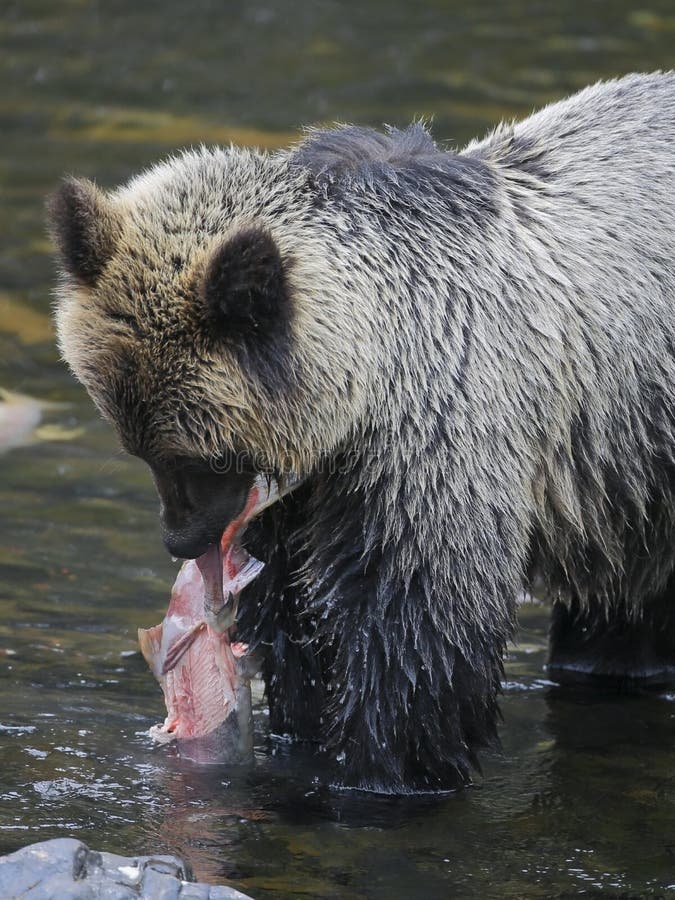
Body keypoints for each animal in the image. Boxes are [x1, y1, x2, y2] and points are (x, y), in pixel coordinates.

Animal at [48, 74, 675, 792]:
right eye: (139, 449)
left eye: (206, 456)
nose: (183, 538)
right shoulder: (304, 500)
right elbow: (292, 621)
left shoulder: (435, 441)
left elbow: (414, 637)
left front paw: (385, 768)